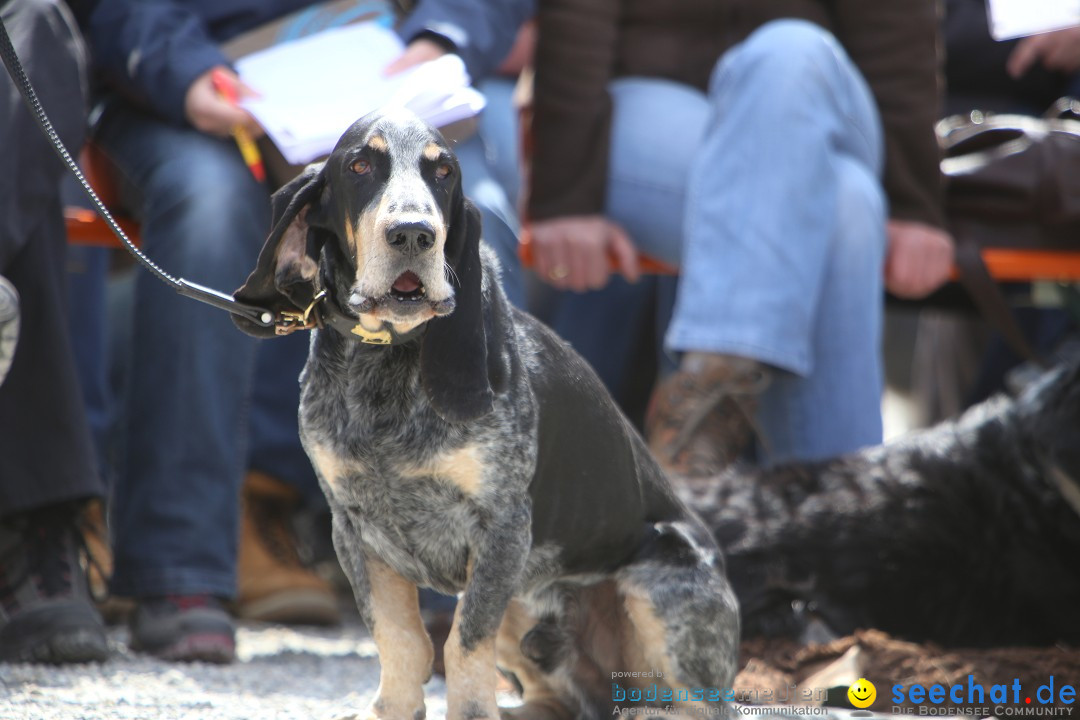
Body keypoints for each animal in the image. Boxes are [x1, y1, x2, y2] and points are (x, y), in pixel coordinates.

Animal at [234, 106, 743, 720]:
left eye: (444, 173)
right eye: (360, 166)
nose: (414, 233)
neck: (387, 360)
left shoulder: (501, 526)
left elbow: (462, 643)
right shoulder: (353, 530)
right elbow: (400, 640)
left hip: (656, 588)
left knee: (692, 704)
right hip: (526, 600)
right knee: (562, 697)